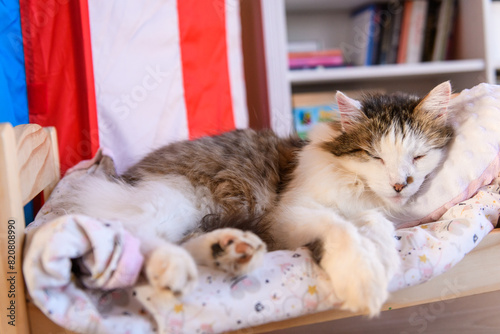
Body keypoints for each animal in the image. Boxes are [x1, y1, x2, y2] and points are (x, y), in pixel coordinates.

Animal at [62, 81, 454, 316]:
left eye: (418, 156)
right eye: (376, 157)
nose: (401, 184)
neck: (359, 188)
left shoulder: (369, 213)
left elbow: (375, 227)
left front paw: (382, 260)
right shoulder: (288, 214)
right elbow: (341, 228)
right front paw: (363, 282)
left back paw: (230, 250)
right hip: (178, 198)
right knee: (134, 235)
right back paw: (175, 267)